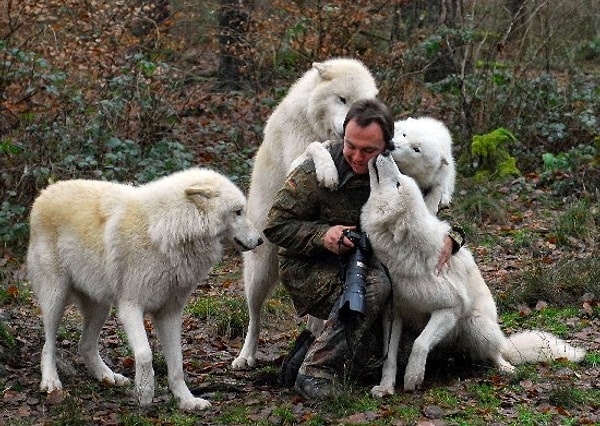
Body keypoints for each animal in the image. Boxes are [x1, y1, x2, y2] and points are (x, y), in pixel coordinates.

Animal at [28, 168, 262, 412]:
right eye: (238, 212)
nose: (260, 240)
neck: (169, 229)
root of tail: (45, 192)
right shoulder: (130, 307)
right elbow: (144, 353)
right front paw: (145, 392)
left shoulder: (169, 313)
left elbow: (177, 365)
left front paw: (187, 400)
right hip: (56, 297)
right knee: (48, 345)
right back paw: (51, 381)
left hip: (101, 307)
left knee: (85, 346)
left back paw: (108, 377)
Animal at [232, 58, 378, 368]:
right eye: (342, 99)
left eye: (359, 104)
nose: (348, 130)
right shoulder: (297, 157)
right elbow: (315, 149)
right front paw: (327, 172)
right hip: (260, 271)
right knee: (254, 317)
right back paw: (245, 356)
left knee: (315, 316)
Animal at [290, 115, 454, 215]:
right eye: (404, 134)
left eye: (416, 149)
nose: (392, 145)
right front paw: (328, 174)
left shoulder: (443, 170)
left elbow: (439, 186)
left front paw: (434, 204)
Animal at [358, 155, 584, 398]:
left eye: (399, 182)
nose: (386, 152)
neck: (405, 255)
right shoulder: (393, 314)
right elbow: (389, 357)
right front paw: (385, 387)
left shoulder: (450, 309)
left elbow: (421, 344)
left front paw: (412, 377)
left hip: (476, 324)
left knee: (496, 353)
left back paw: (505, 368)